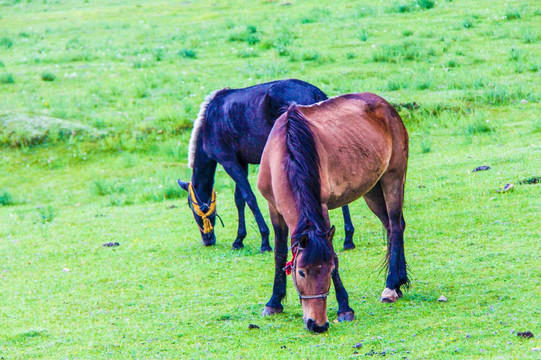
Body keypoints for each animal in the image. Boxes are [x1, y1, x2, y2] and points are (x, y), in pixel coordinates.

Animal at [178, 80, 358, 252]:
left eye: (190, 206)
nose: (207, 240)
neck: (208, 124)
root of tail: (316, 93)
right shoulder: (241, 162)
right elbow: (239, 199)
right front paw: (239, 239)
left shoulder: (228, 161)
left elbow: (249, 197)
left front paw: (264, 240)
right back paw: (348, 237)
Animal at [258, 92, 410, 332]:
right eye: (301, 272)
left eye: (329, 271)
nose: (318, 325)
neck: (286, 151)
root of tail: (386, 106)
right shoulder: (274, 209)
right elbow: (279, 253)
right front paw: (274, 302)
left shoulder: (321, 208)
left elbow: (333, 254)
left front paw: (344, 308)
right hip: (372, 191)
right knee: (393, 227)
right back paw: (400, 281)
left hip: (392, 178)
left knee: (395, 227)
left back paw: (391, 286)